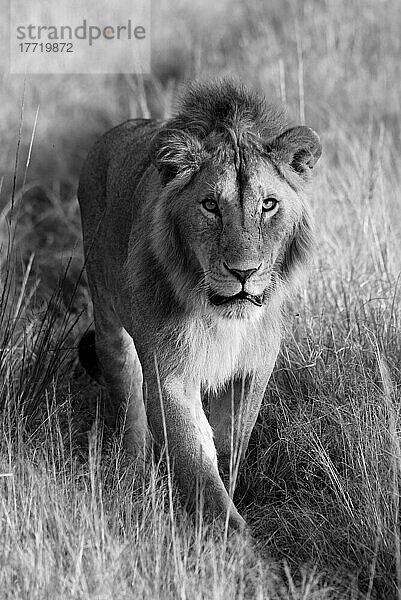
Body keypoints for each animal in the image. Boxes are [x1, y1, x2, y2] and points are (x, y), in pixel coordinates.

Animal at [77, 78, 322, 528]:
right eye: (210, 205)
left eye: (268, 204)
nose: (244, 272)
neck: (223, 319)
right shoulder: (170, 372)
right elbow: (197, 462)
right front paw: (232, 538)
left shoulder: (254, 369)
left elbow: (228, 447)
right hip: (109, 320)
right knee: (128, 402)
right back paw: (133, 476)